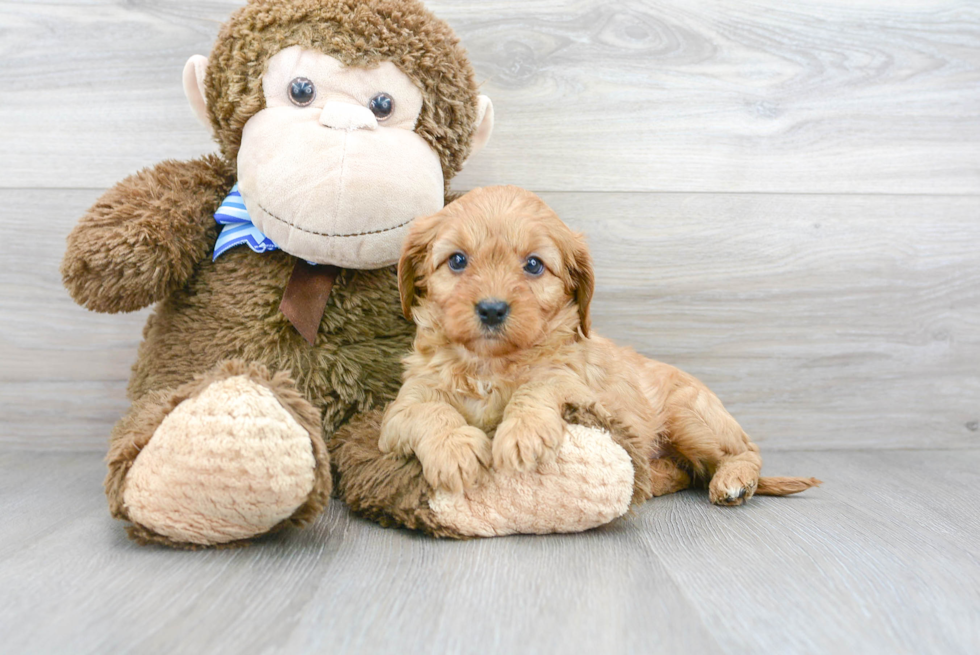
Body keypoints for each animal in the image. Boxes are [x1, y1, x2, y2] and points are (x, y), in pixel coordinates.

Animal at [382, 187, 820, 504]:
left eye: (534, 265)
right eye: (457, 261)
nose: (492, 309)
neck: (489, 365)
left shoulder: (581, 390)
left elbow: (539, 384)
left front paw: (522, 433)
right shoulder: (400, 409)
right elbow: (429, 410)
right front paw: (453, 451)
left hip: (691, 417)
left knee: (744, 452)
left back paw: (733, 480)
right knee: (684, 471)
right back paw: (652, 478)